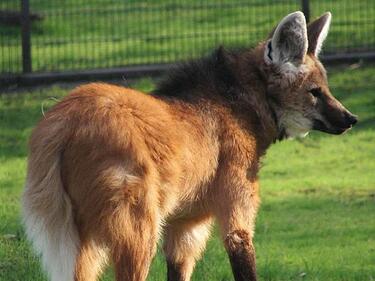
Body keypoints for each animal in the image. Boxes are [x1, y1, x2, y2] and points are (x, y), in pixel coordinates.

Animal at [22, 10, 356, 280]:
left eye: (325, 89)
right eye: (315, 92)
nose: (350, 118)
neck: (241, 106)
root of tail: (61, 121)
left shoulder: (185, 224)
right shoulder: (233, 212)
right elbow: (241, 250)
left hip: (84, 236)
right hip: (139, 228)